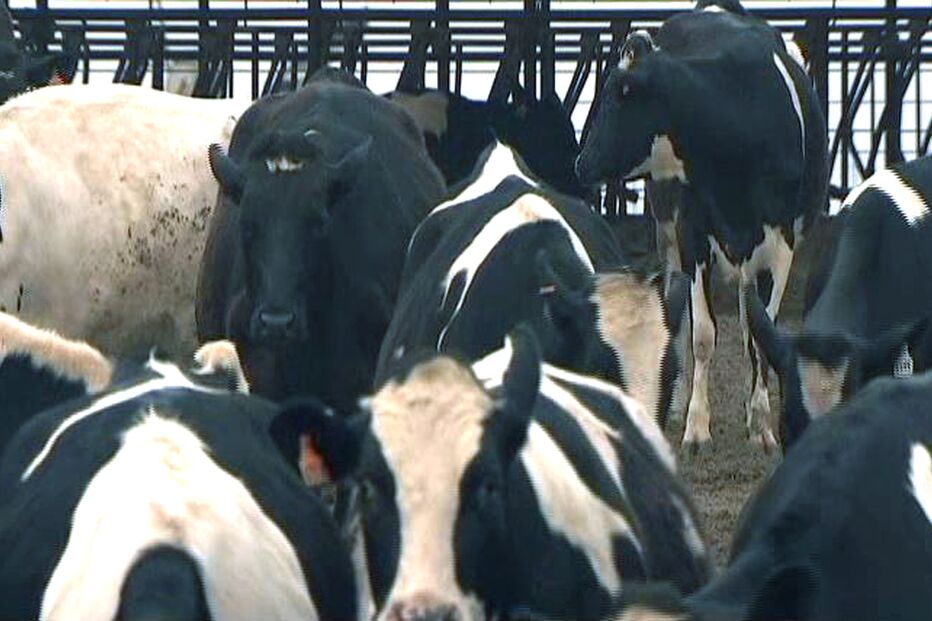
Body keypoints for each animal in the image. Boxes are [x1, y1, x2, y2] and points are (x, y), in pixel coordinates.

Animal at [576, 5, 829, 452]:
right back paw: (677, 403)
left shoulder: (780, 246)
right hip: (667, 225)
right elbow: (703, 335)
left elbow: (758, 335)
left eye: (620, 95)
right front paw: (696, 426)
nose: (581, 162)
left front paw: (761, 424)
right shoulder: (692, 233)